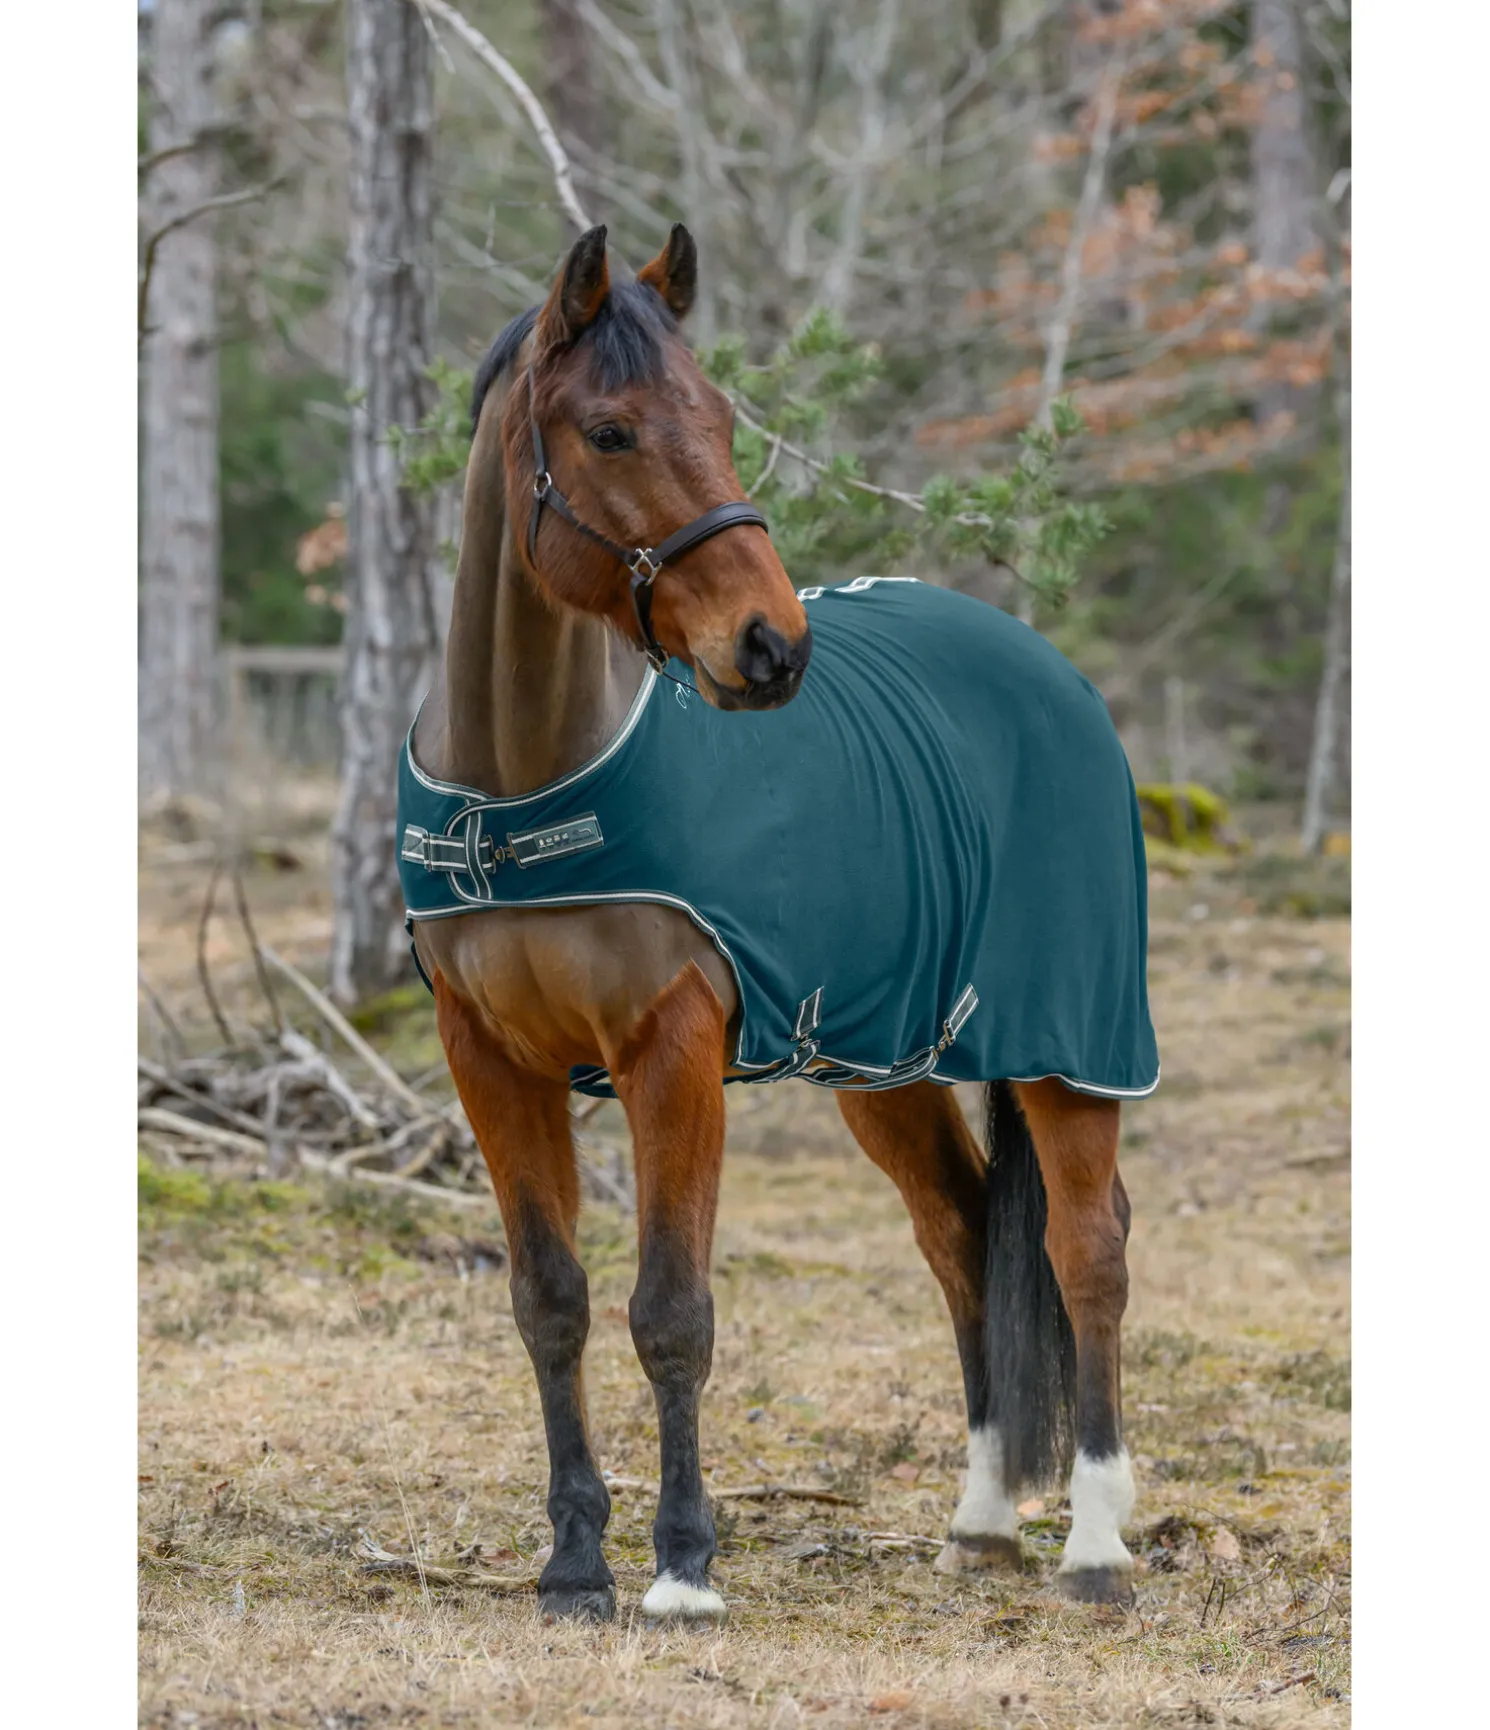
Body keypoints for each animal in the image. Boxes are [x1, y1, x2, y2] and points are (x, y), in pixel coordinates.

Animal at [404, 223, 1151, 1621]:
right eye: (610, 431)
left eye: (717, 415)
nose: (770, 647)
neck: (520, 788)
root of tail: (1047, 669)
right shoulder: (488, 1058)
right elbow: (549, 1300)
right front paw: (573, 1564)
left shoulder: (673, 1050)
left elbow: (671, 1309)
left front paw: (683, 1565)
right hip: (888, 1062)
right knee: (962, 1232)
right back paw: (980, 1523)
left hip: (1068, 1045)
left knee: (1086, 1250)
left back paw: (1094, 1544)